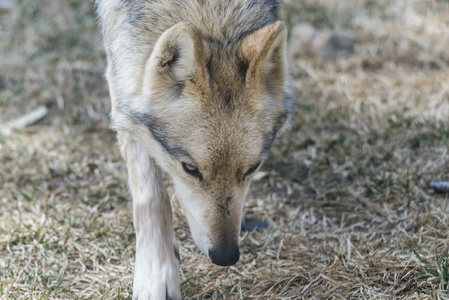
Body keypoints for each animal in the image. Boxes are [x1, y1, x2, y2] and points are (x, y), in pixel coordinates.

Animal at [95, 1, 290, 298]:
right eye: (190, 168)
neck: (213, 18)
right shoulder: (122, 84)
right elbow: (151, 195)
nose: (226, 256)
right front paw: (155, 274)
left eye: (252, 168)